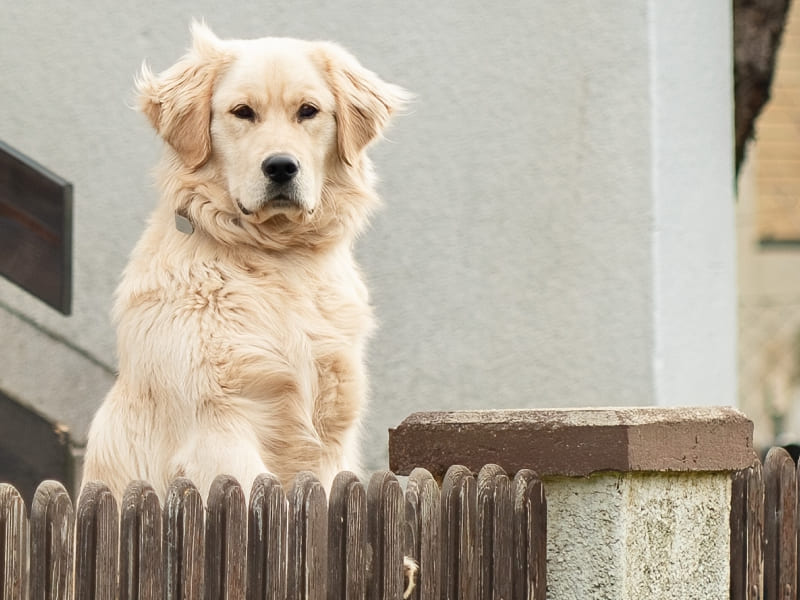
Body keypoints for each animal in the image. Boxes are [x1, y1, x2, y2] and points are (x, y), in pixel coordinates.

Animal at [83, 22, 412, 596]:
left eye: (309, 111)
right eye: (242, 112)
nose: (281, 167)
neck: (275, 261)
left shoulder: (329, 435)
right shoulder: (219, 425)